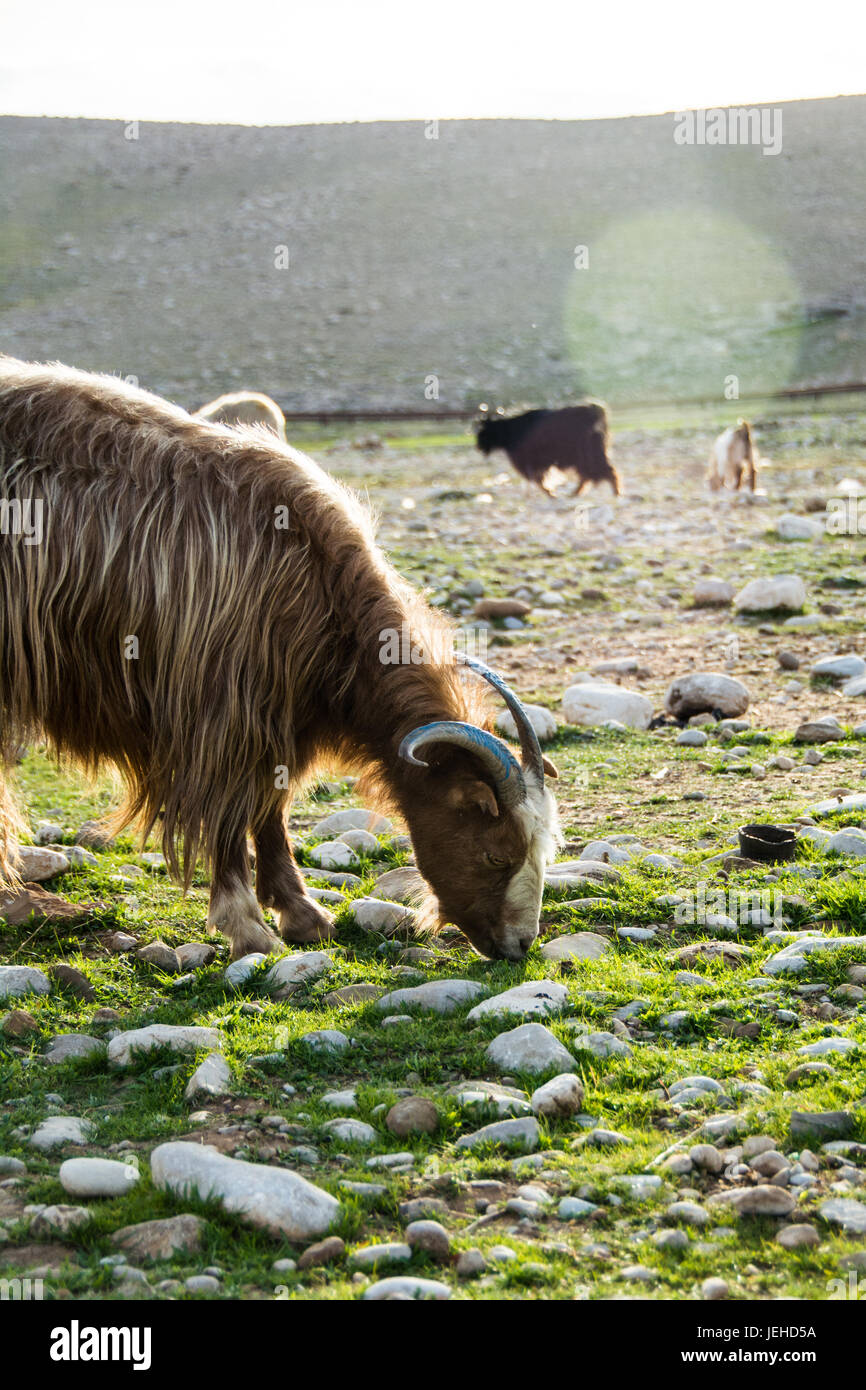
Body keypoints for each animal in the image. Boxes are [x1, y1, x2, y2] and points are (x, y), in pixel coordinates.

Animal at [1, 358, 561, 961]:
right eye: (497, 854)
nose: (519, 944)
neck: (313, 579)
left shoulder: (278, 720)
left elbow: (271, 811)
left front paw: (301, 914)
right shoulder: (222, 716)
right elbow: (228, 812)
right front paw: (246, 924)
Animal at [469, 405, 619, 497]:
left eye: (482, 432)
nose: (478, 446)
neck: (510, 430)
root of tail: (594, 412)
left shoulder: (531, 462)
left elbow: (538, 479)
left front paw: (550, 492)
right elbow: (539, 479)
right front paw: (550, 492)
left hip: (587, 454)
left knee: (603, 471)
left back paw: (615, 493)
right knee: (593, 474)